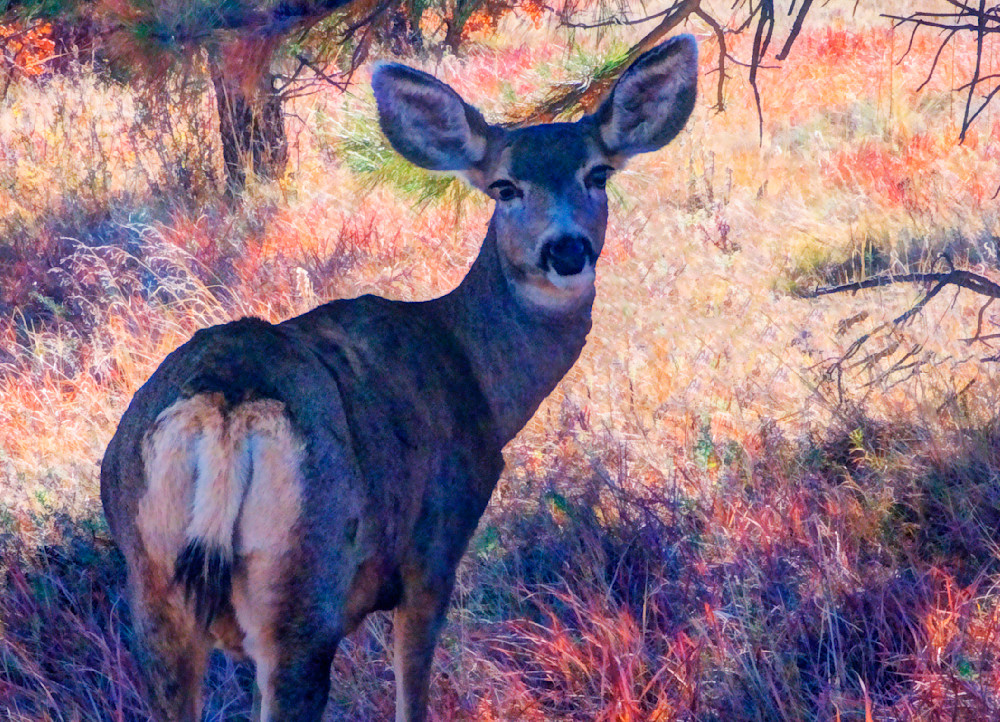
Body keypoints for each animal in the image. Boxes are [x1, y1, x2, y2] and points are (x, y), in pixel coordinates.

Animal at [100, 34, 697, 722]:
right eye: (504, 187)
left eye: (596, 174)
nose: (566, 250)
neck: (476, 372)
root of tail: (224, 402)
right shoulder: (435, 542)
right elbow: (413, 691)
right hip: (304, 580)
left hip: (152, 588)